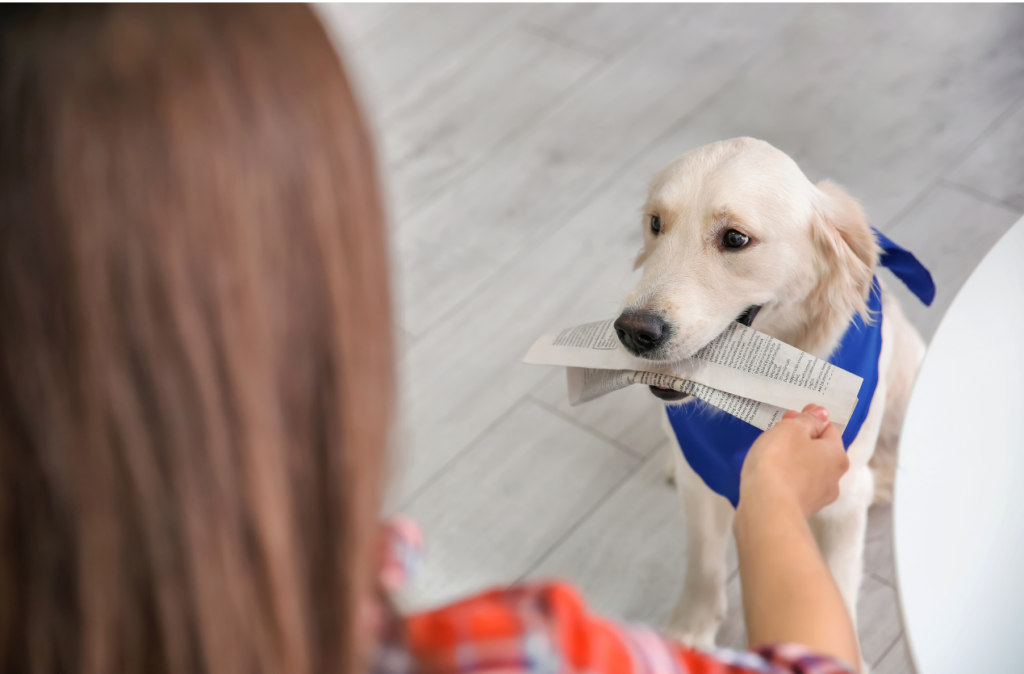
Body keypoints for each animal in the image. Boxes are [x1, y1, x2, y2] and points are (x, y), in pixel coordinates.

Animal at [614, 138, 929, 655]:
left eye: (735, 239)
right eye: (656, 223)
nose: (633, 331)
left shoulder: (843, 498)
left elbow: (836, 583)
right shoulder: (701, 483)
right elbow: (703, 560)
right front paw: (690, 627)